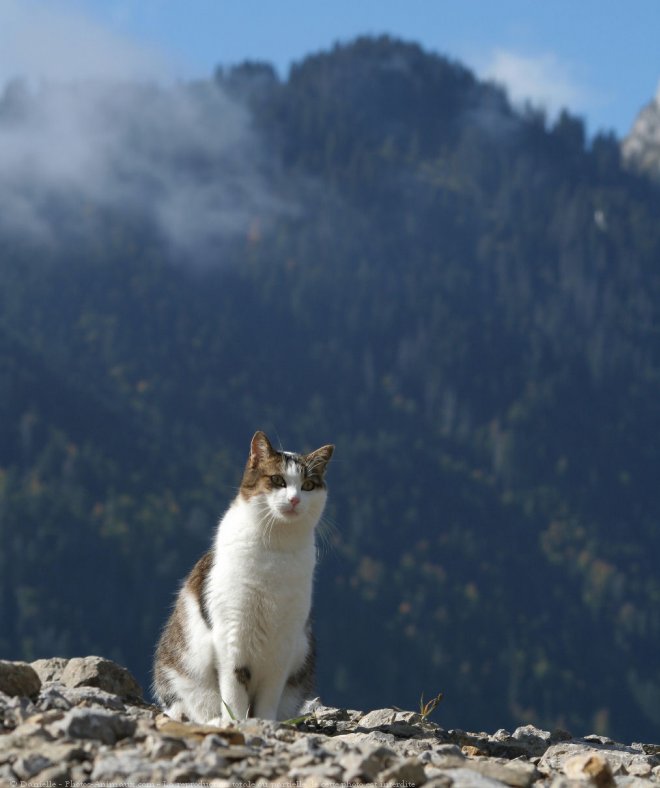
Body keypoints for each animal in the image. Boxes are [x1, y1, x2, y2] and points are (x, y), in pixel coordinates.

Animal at [151, 430, 332, 720]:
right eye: (278, 480)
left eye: (308, 485)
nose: (294, 500)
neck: (276, 548)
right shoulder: (232, 635)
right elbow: (234, 691)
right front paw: (236, 722)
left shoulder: (284, 643)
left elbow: (269, 695)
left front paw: (265, 722)